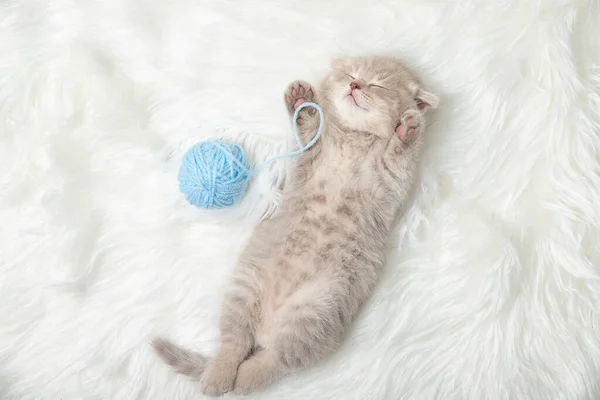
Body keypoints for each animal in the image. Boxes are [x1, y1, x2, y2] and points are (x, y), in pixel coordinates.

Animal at [152, 54, 438, 396]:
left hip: (315, 313)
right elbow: (308, 126)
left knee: (273, 362)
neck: (355, 137)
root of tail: (266, 329)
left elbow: (398, 156)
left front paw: (407, 129)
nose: (355, 86)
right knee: (235, 343)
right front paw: (302, 100)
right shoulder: (309, 156)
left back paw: (237, 378)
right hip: (244, 286)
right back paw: (219, 374)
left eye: (377, 84)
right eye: (351, 74)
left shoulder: (392, 180)